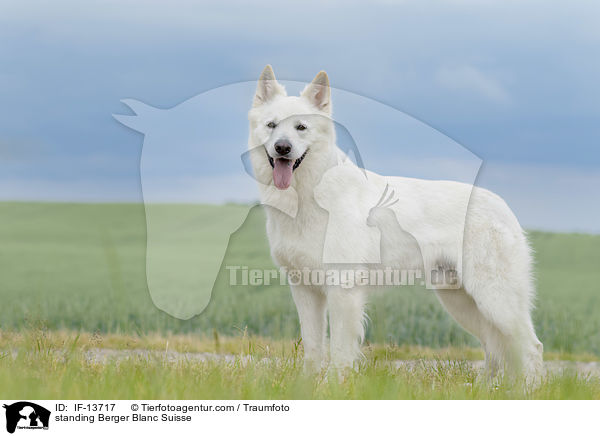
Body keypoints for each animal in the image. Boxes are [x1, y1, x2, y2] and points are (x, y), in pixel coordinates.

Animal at [247, 64, 544, 382]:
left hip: (495, 299)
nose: (282, 147)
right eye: (272, 125)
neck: (309, 194)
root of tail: (502, 205)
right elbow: (313, 348)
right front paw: (305, 385)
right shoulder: (304, 290)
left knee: (531, 347)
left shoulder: (344, 290)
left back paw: (529, 389)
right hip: (461, 301)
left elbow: (339, 351)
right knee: (495, 348)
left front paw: (333, 385)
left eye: (300, 127)